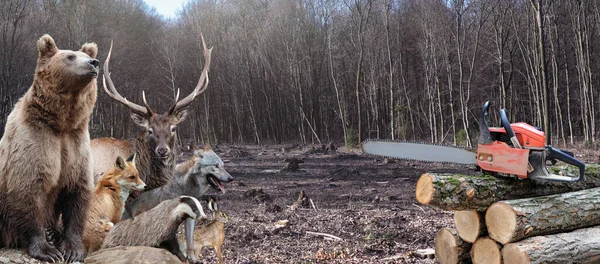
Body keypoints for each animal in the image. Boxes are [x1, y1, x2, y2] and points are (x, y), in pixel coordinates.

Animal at [0, 34, 99, 262]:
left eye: (85, 54)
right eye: (70, 56)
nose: (94, 63)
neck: (61, 123)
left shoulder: (75, 145)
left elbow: (78, 192)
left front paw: (72, 249)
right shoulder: (34, 141)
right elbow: (29, 190)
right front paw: (48, 250)